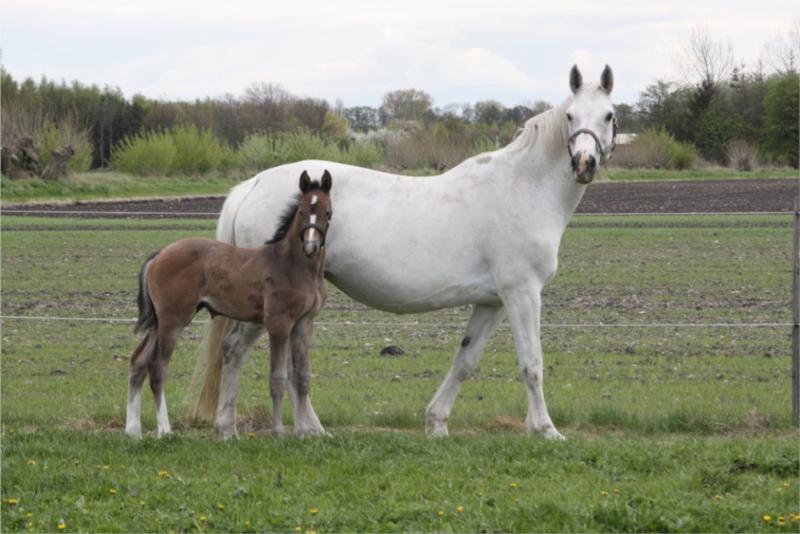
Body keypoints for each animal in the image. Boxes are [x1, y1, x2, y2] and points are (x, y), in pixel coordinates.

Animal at [126, 171, 332, 440]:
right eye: (301, 211)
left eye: (328, 212)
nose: (310, 246)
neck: (293, 265)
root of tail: (159, 255)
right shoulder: (278, 323)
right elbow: (277, 379)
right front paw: (278, 433)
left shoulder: (304, 324)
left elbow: (302, 378)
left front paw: (300, 433)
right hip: (173, 320)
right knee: (158, 367)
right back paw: (165, 429)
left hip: (159, 322)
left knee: (139, 361)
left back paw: (133, 431)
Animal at [191, 66, 616, 440]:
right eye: (570, 115)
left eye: (609, 115)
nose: (584, 163)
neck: (523, 186)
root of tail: (251, 185)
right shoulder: (523, 293)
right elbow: (532, 364)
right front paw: (546, 429)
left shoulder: (493, 301)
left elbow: (465, 361)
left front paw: (437, 423)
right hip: (268, 306)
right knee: (234, 351)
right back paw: (229, 428)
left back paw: (307, 429)